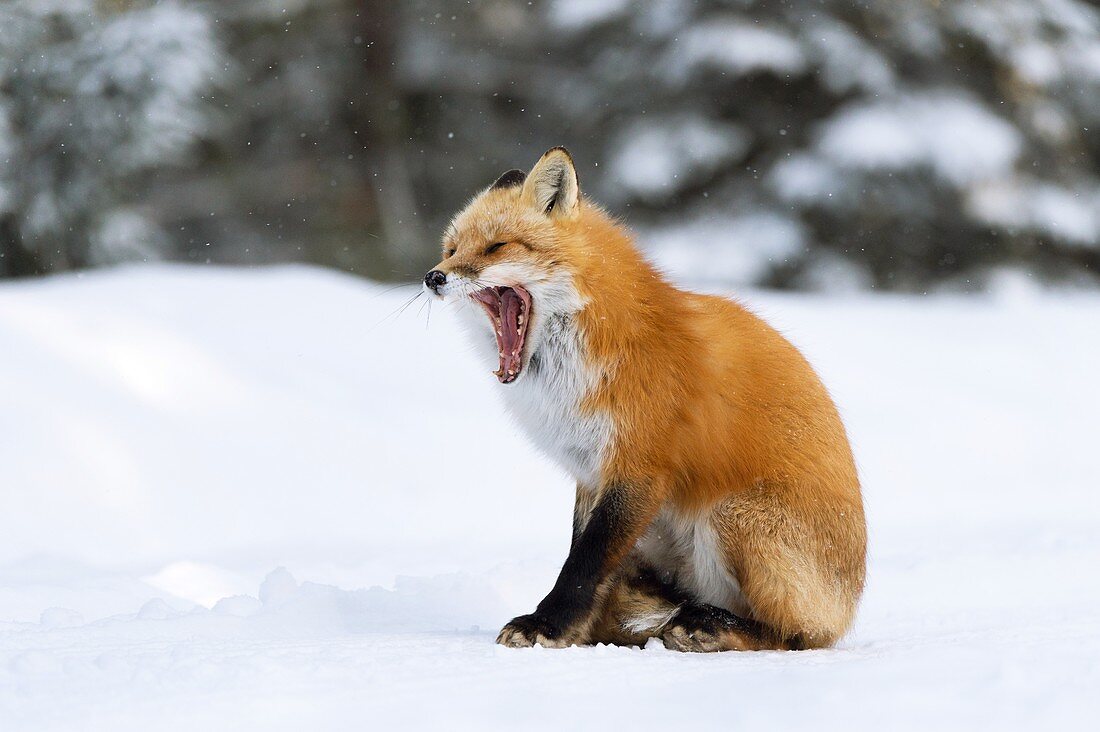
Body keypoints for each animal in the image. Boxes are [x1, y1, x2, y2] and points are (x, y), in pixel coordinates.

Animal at [424, 145, 862, 647]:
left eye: (496, 247)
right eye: (451, 249)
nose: (433, 277)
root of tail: (849, 607)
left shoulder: (640, 466)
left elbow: (585, 561)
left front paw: (546, 625)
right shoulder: (591, 472)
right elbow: (586, 554)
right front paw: (576, 632)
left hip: (734, 516)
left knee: (794, 635)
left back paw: (710, 625)